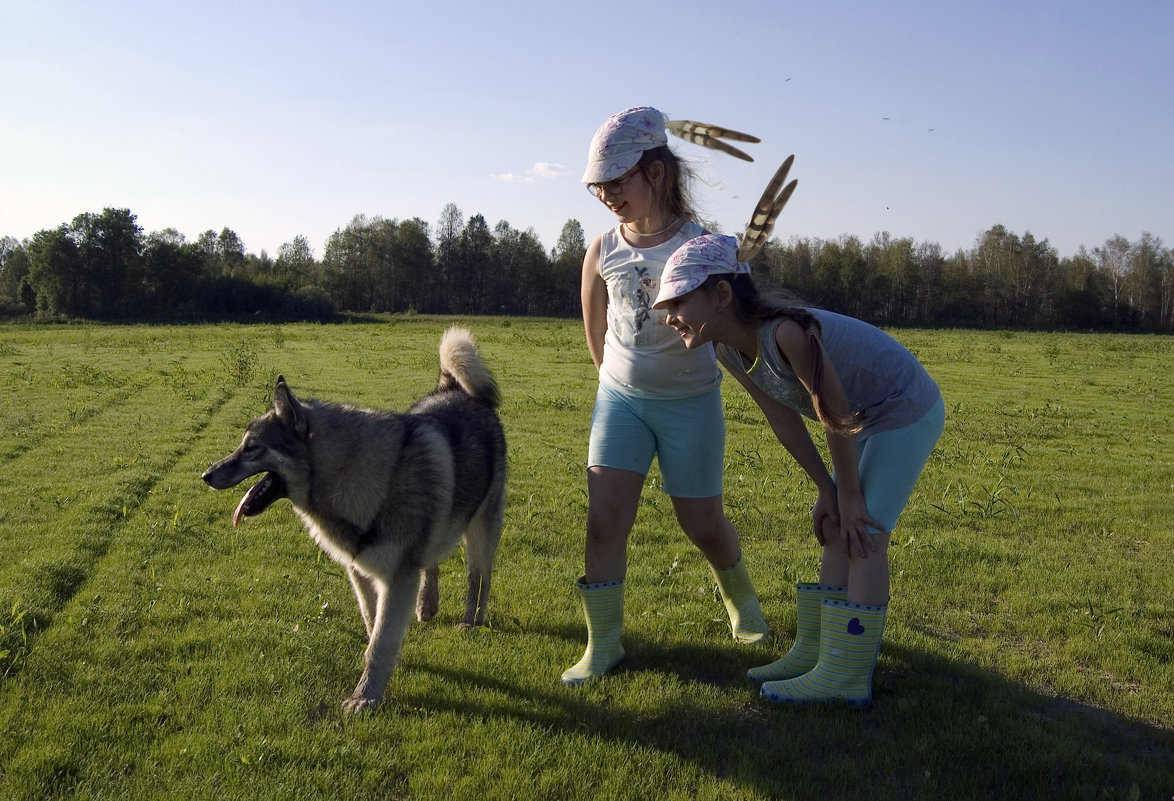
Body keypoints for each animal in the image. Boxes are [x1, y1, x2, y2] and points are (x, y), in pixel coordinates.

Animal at [204, 326, 507, 709]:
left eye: (251, 447)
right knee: (435, 562)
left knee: (478, 578)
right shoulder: (361, 573)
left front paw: (365, 698)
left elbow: (380, 642)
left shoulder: (397, 578)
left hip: (481, 530)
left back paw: (472, 621)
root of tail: (456, 390)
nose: (206, 475)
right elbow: (372, 625)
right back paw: (427, 606)